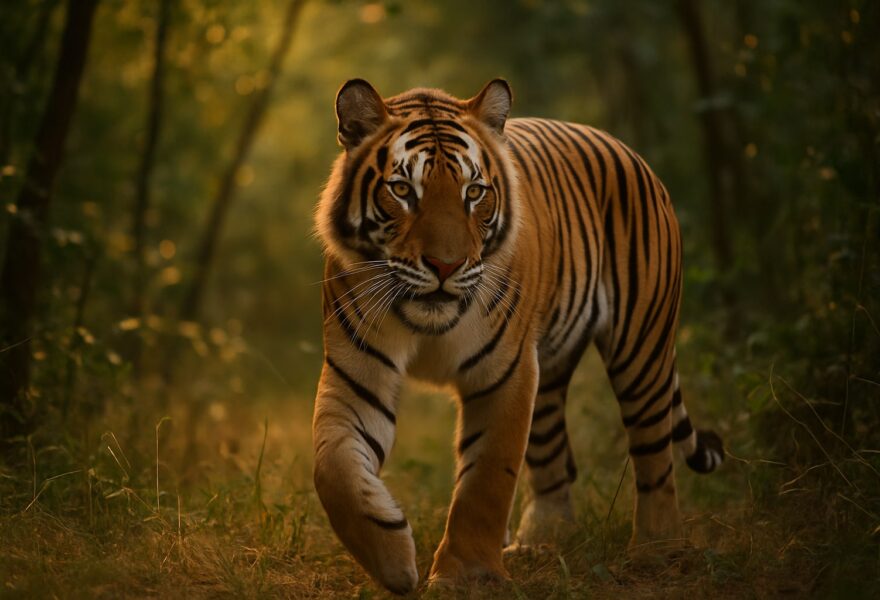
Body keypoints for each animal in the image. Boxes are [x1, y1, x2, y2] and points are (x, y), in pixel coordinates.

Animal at [312, 78, 724, 594]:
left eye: (474, 192)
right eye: (403, 190)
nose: (445, 265)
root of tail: (629, 151)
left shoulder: (503, 372)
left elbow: (487, 478)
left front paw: (466, 576)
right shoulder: (357, 370)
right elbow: (334, 468)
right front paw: (393, 559)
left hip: (641, 348)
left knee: (654, 454)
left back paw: (655, 550)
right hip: (547, 370)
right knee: (553, 461)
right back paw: (540, 542)